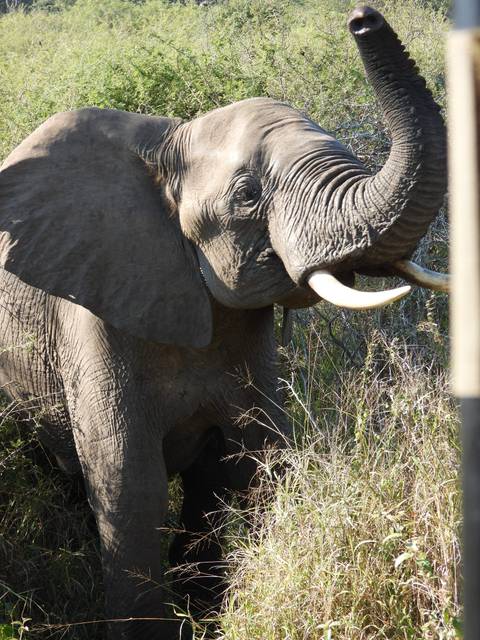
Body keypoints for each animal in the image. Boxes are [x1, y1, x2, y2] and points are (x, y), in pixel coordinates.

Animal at [0, 6, 448, 639]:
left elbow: (257, 460)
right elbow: (129, 484)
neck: (169, 143)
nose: (362, 18)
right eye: (247, 195)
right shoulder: (93, 317)